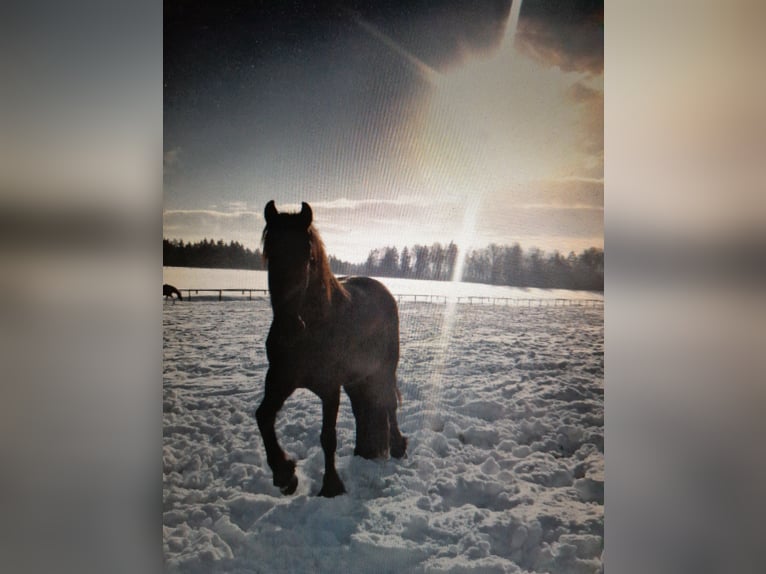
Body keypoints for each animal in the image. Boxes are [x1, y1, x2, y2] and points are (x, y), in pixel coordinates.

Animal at [256, 200, 407, 497]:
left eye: (308, 257)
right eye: (270, 253)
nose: (289, 328)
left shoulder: (329, 387)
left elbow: (328, 436)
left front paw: (331, 486)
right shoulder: (279, 380)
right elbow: (263, 417)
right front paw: (284, 475)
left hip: (384, 369)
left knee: (388, 403)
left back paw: (397, 447)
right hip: (358, 377)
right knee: (362, 408)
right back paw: (363, 451)